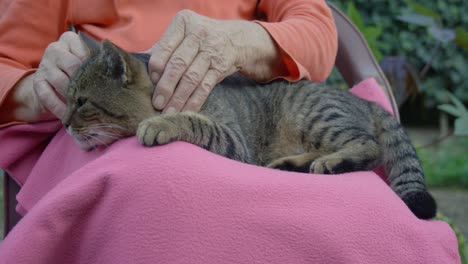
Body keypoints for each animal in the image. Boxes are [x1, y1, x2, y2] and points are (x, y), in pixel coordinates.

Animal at [61, 32, 436, 219]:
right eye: (67, 99)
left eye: (81, 102)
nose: (63, 124)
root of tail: (365, 101)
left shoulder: (235, 141)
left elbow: (196, 121)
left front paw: (162, 122)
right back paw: (291, 164)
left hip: (316, 116)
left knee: (370, 147)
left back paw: (331, 162)